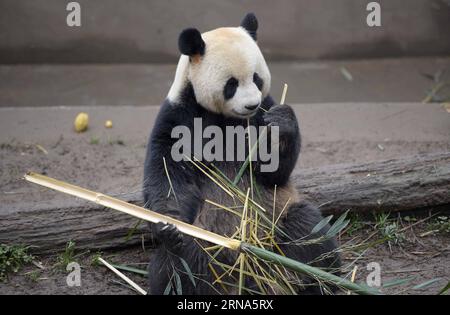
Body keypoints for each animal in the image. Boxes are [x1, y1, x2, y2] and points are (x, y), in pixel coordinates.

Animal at [142, 12, 340, 296]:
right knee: (175, 267)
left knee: (309, 232)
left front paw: (281, 123)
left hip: (277, 222)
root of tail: (243, 271)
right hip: (204, 243)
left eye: (257, 78)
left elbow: (273, 171)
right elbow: (168, 170)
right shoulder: (180, 114)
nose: (251, 105)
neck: (228, 118)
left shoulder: (262, 112)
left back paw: (316, 280)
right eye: (231, 84)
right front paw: (168, 224)